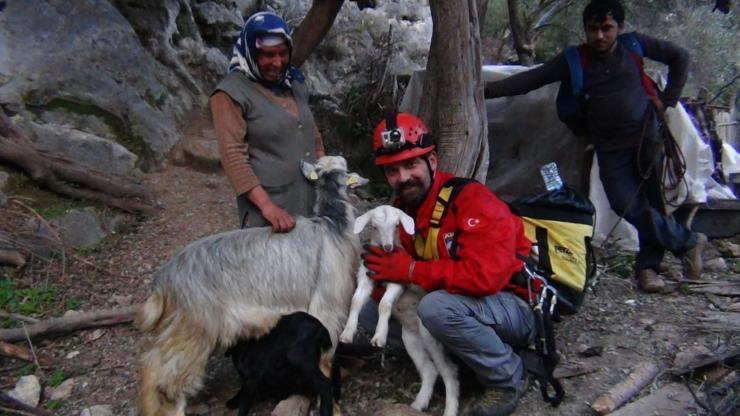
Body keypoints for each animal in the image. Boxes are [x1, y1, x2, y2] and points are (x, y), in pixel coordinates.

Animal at [137, 156, 368, 416]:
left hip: (178, 328)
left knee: (151, 366)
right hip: (194, 329)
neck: (332, 225)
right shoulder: (326, 310)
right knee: (166, 378)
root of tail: (162, 280)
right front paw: (330, 407)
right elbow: (326, 361)